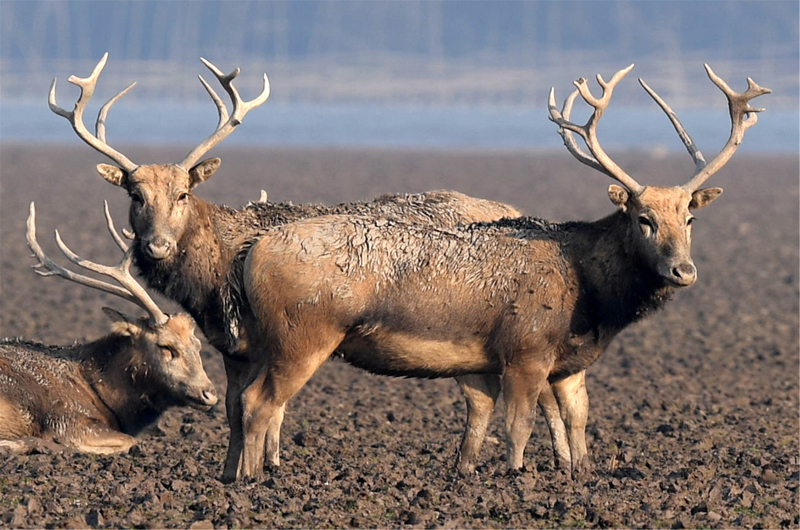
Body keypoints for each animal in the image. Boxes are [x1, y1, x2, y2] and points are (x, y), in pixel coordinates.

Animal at [50, 54, 584, 478]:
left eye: (183, 193)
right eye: (135, 195)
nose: (157, 245)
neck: (216, 277)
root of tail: (510, 207)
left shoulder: (271, 339)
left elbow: (267, 410)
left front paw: (262, 469)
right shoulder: (235, 347)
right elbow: (235, 410)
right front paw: (233, 472)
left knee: (537, 390)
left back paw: (558, 465)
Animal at [227, 62, 768, 474]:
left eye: (690, 217)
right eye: (644, 219)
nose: (683, 271)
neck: (592, 300)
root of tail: (251, 251)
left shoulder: (561, 363)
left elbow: (576, 420)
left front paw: (578, 474)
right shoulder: (525, 348)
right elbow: (519, 424)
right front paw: (516, 475)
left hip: (263, 340)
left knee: (239, 399)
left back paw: (235, 474)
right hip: (303, 335)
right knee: (259, 402)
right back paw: (253, 480)